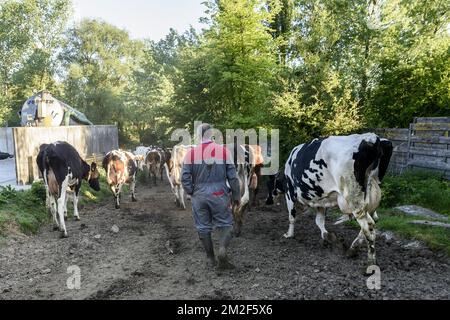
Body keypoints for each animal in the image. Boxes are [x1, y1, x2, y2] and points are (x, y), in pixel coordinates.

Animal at [282, 134, 390, 266]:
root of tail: (372, 138)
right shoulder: (321, 201)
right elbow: (319, 221)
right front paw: (328, 237)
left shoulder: (289, 192)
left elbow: (292, 216)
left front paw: (289, 234)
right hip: (369, 199)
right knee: (372, 222)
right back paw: (352, 249)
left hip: (354, 198)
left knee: (367, 225)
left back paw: (371, 261)